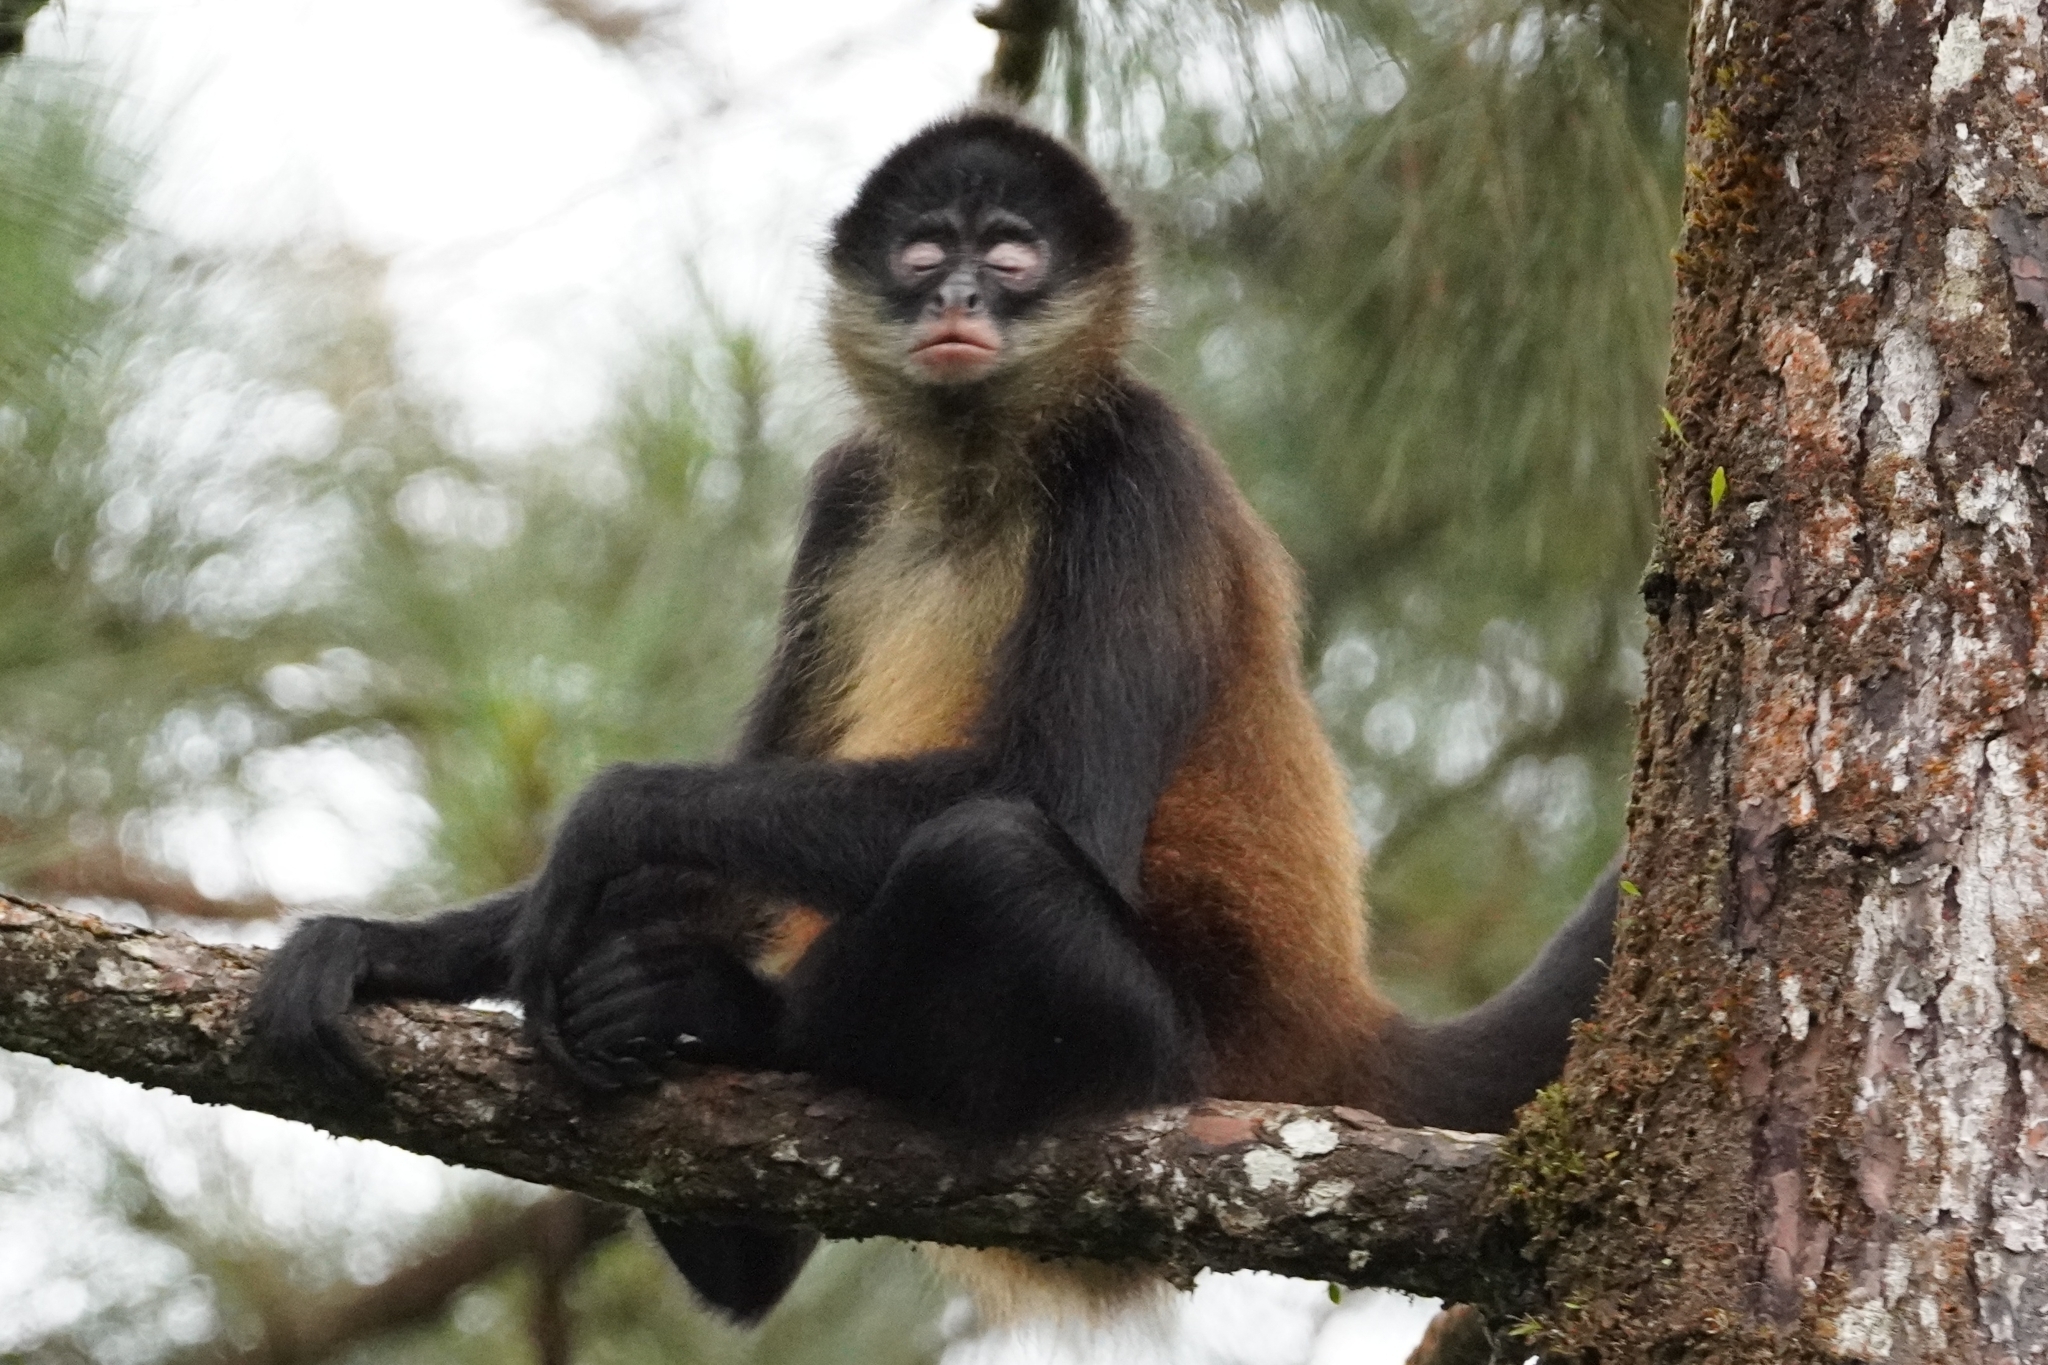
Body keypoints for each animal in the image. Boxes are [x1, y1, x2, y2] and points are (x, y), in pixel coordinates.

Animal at [243, 112, 1613, 1326]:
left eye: (1008, 255)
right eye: (920, 252)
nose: (954, 294)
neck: (973, 474)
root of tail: (1329, 1026)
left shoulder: (1141, 463)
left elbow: (1045, 802)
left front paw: (609, 814)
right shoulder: (849, 490)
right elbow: (746, 787)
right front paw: (392, 947)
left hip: (1158, 1060)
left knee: (982, 854)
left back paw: (732, 1016)